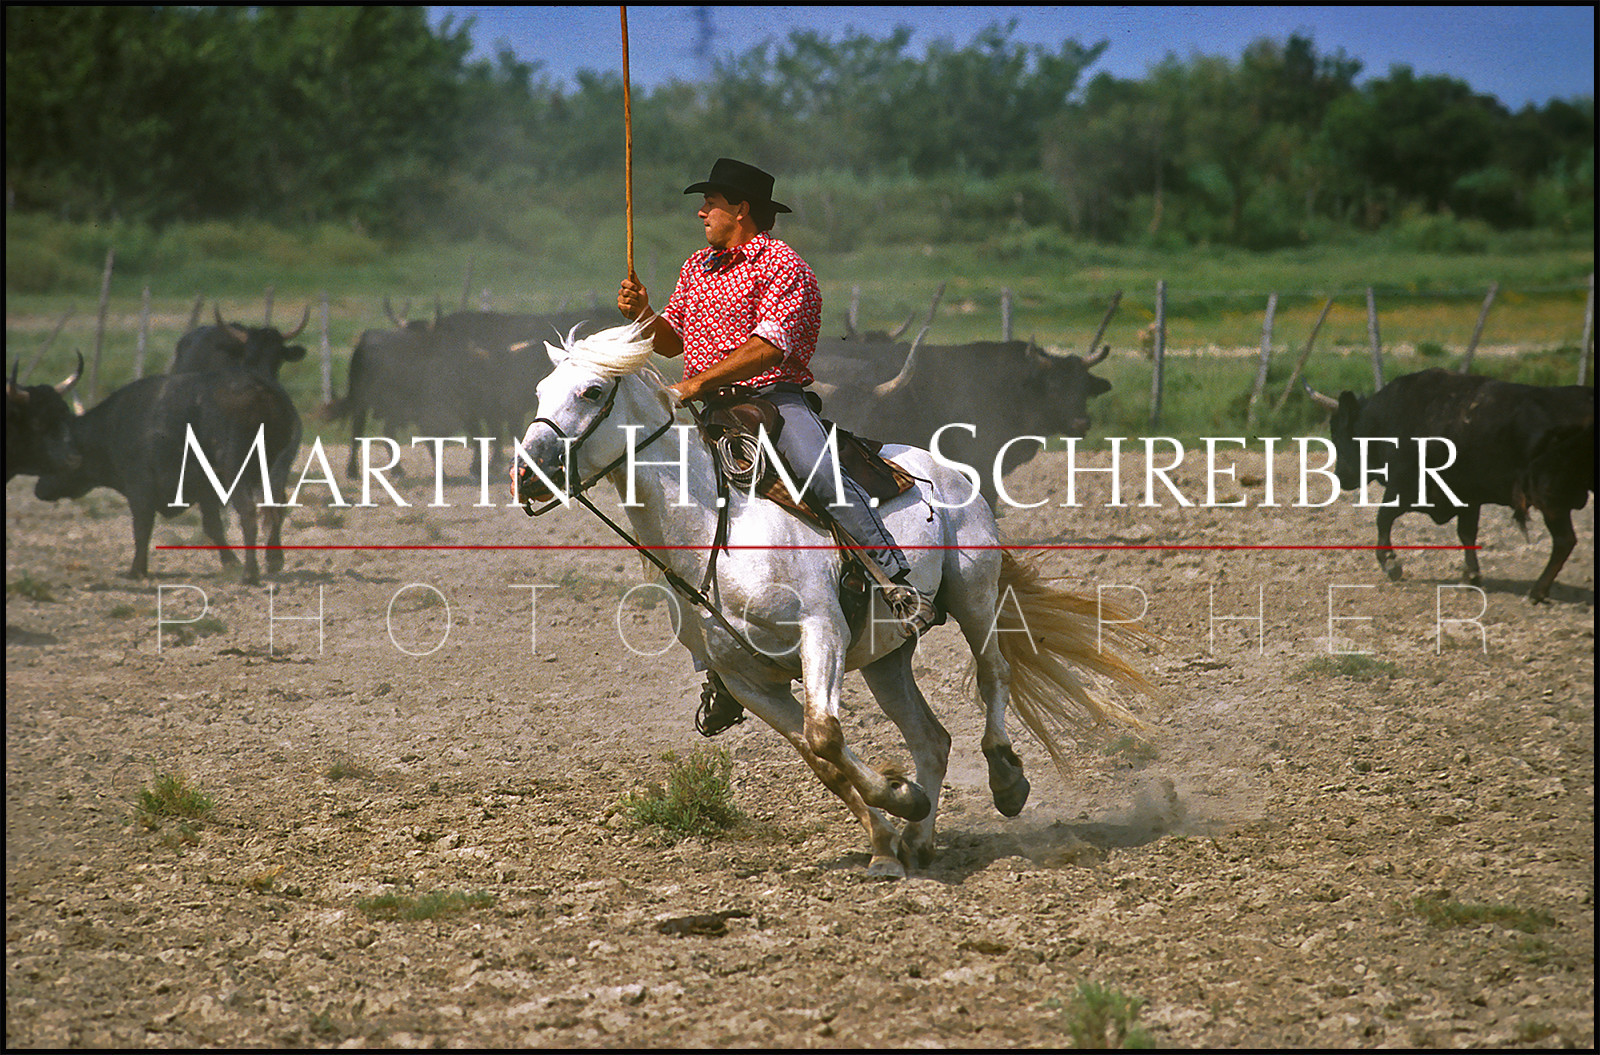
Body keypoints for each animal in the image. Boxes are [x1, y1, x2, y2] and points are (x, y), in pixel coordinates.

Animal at [23, 370, 302, 585]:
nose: (38, 488)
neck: (114, 427)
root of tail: (259, 386)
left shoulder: (140, 489)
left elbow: (141, 528)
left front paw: (136, 570)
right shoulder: (205, 490)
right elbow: (212, 526)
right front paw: (230, 562)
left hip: (236, 471)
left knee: (248, 511)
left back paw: (250, 574)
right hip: (274, 467)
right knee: (277, 506)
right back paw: (273, 559)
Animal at [1306, 367, 1595, 603]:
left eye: (1338, 433)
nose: (1341, 476)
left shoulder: (1405, 487)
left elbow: (1383, 517)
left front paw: (1390, 563)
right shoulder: (1466, 496)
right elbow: (1466, 534)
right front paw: (1471, 576)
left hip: (1550, 497)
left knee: (1564, 541)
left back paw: (1537, 591)